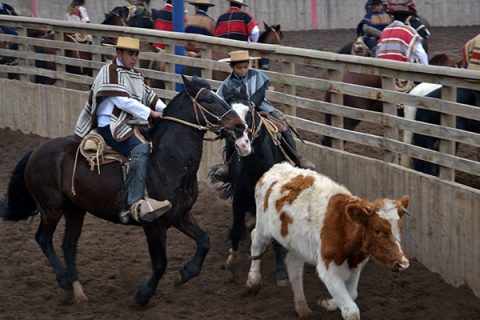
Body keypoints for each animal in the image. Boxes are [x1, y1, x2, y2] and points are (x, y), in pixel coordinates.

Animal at [0, 76, 251, 306]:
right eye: (209, 99)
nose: (240, 126)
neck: (167, 161)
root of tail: (35, 152)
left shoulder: (180, 215)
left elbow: (204, 241)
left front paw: (185, 274)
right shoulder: (154, 225)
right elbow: (160, 264)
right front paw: (143, 295)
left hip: (75, 209)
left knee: (68, 245)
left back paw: (77, 291)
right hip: (51, 208)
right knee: (43, 238)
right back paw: (63, 279)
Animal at [248, 164, 408, 318]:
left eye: (400, 228)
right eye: (377, 230)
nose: (403, 262)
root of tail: (274, 168)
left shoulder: (356, 267)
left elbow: (352, 294)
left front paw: (328, 303)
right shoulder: (328, 270)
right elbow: (351, 311)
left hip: (297, 244)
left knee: (294, 265)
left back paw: (302, 307)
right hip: (264, 227)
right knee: (256, 239)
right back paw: (253, 280)